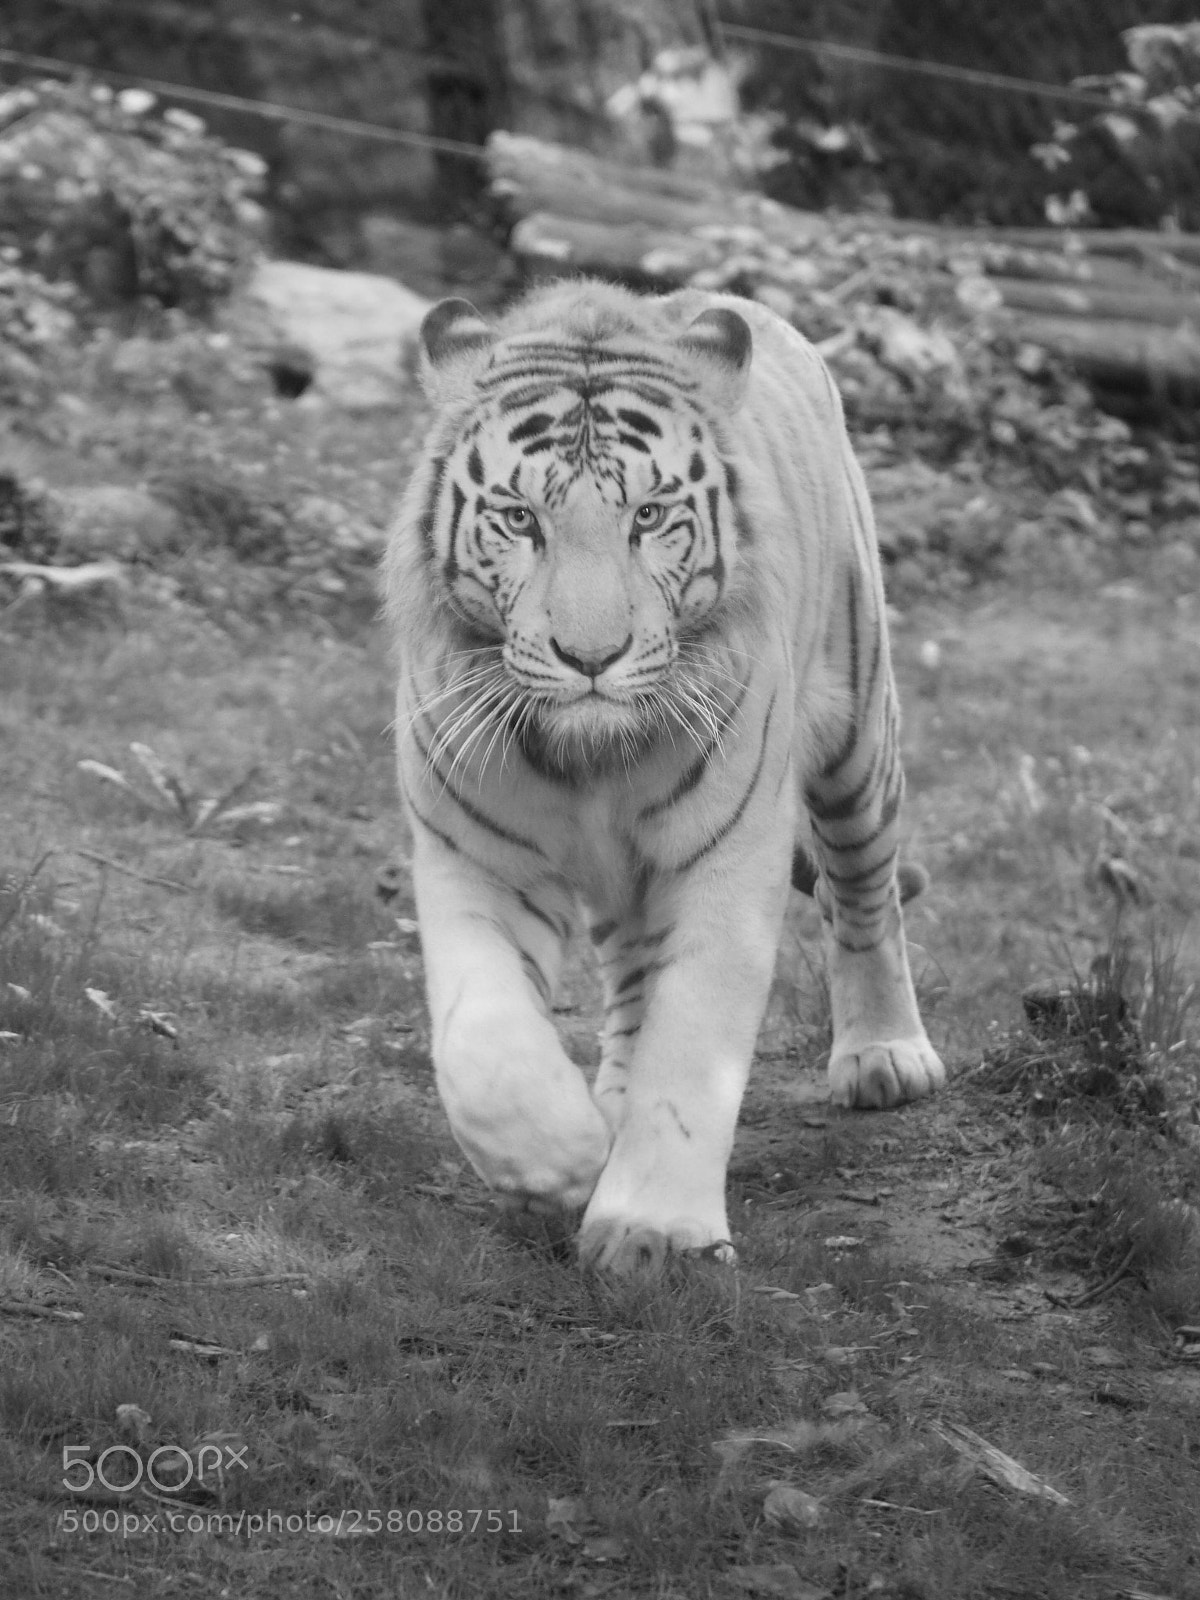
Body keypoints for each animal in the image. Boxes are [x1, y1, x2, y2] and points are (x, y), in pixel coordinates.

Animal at [384, 277, 945, 1274]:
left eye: (647, 517)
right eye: (520, 519)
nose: (590, 656)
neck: (589, 759)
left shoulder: (729, 857)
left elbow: (694, 1046)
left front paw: (655, 1233)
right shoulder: (473, 855)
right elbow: (483, 1041)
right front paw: (560, 1160)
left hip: (858, 741)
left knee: (865, 897)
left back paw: (884, 1056)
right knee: (633, 980)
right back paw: (607, 1109)